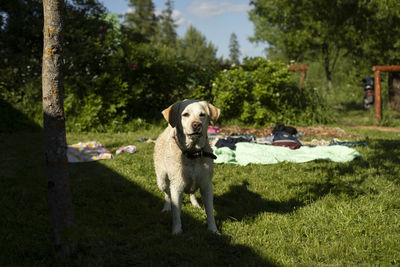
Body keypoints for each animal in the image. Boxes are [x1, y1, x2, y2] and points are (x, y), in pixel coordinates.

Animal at [154, 100, 222, 234]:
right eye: (185, 114)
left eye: (202, 115)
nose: (197, 124)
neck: (193, 153)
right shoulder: (177, 186)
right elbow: (176, 212)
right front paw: (176, 231)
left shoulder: (207, 185)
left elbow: (210, 211)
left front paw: (213, 230)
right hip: (162, 180)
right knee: (166, 194)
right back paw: (166, 208)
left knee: (192, 192)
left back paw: (196, 204)